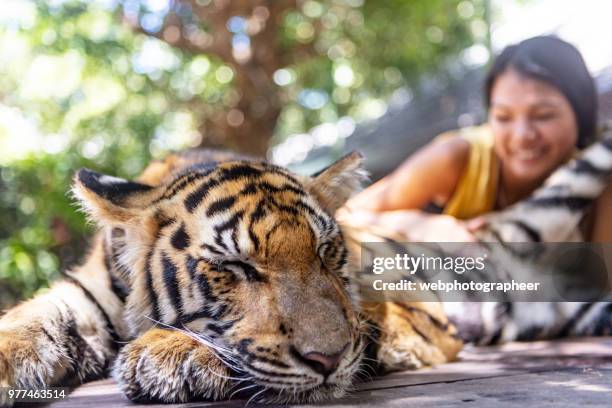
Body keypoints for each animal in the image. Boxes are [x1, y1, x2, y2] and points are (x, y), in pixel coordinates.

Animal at [0, 127, 608, 404]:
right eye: (236, 267)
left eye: (325, 253)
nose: (328, 361)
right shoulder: (85, 292)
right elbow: (25, 320)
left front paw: (171, 353)